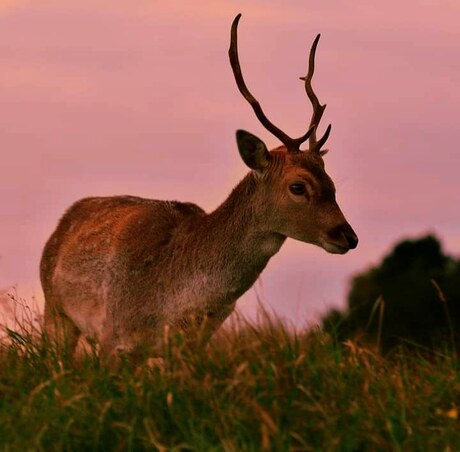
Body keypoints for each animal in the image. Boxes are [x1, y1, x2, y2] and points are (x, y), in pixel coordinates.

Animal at [39, 14, 358, 358]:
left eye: (332, 183)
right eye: (298, 186)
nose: (348, 236)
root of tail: (63, 223)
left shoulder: (193, 344)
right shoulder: (114, 334)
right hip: (54, 309)